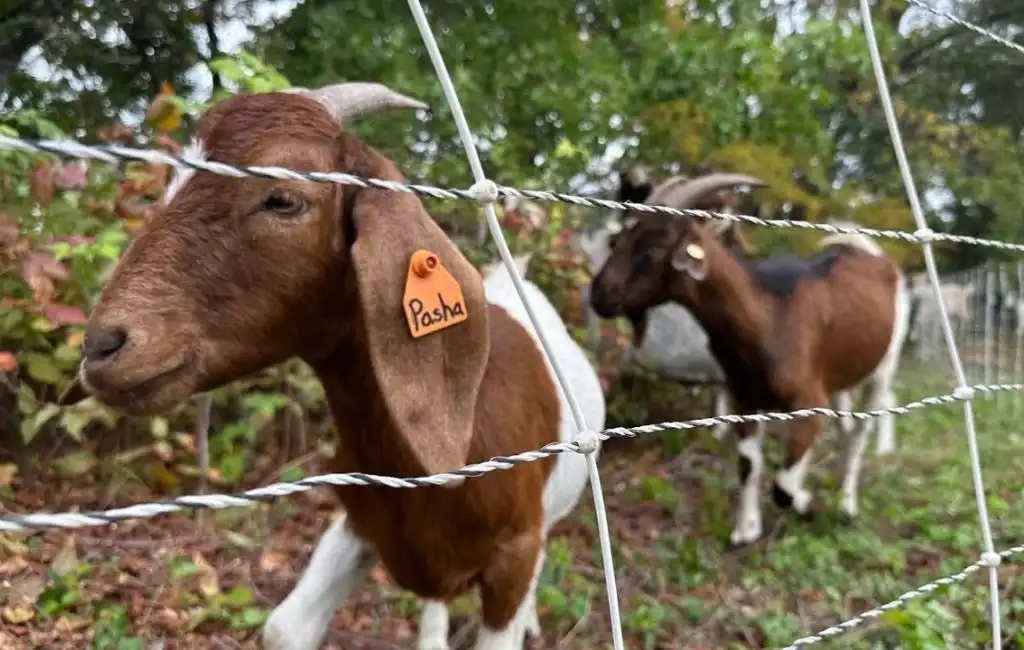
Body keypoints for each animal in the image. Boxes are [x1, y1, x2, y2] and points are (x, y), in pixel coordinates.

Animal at [589, 205, 909, 548]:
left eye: (651, 248)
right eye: (618, 241)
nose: (599, 295)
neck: (767, 317)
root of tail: (870, 253)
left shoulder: (808, 398)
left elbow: (782, 488)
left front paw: (805, 502)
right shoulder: (742, 398)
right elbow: (748, 464)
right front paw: (746, 529)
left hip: (884, 366)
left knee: (860, 432)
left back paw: (846, 504)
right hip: (839, 378)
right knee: (845, 428)